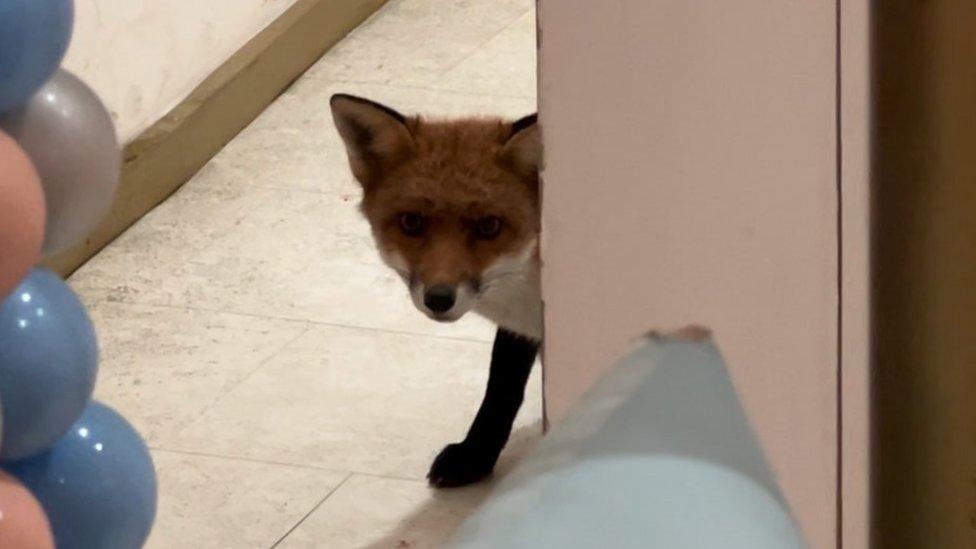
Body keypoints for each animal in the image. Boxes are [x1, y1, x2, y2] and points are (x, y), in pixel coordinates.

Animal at [328, 95, 540, 488]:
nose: (439, 298)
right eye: (412, 222)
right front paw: (475, 455)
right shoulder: (521, 327)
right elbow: (501, 388)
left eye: (489, 226)